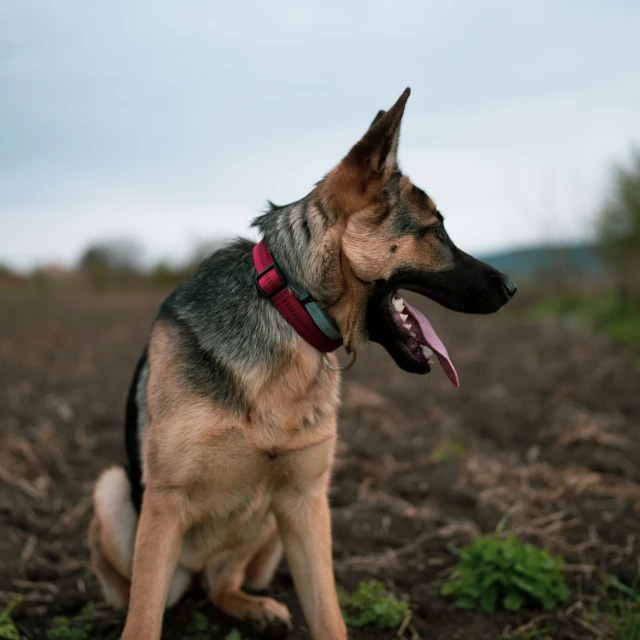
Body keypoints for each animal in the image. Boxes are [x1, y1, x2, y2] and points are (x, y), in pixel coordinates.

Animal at [89, 86, 516, 640]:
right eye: (435, 231)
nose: (513, 287)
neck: (290, 307)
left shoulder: (306, 502)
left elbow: (328, 614)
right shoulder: (165, 504)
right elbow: (142, 619)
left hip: (267, 527)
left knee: (222, 584)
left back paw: (253, 607)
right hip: (114, 495)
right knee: (150, 592)